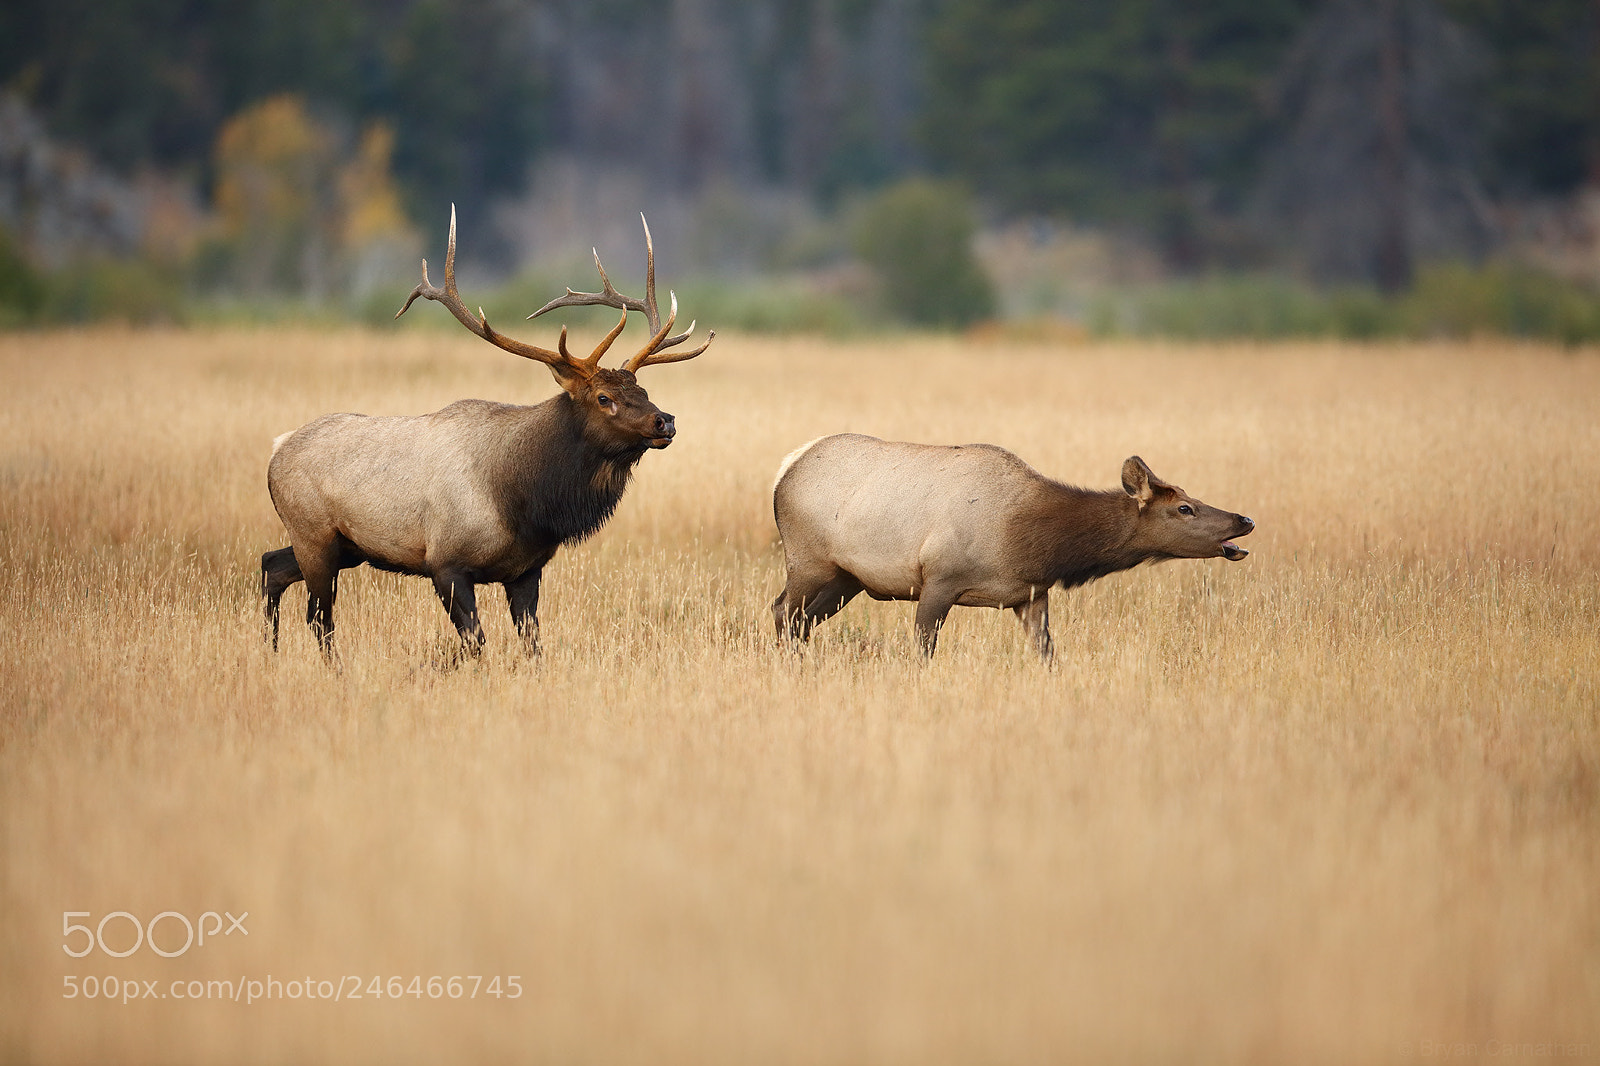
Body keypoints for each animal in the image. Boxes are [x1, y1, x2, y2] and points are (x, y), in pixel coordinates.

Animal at [262, 206, 713, 657]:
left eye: (644, 391)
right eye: (604, 398)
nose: (665, 421)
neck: (524, 500)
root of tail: (276, 449)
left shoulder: (526, 569)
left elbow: (532, 645)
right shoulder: (445, 563)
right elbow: (475, 643)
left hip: (344, 547)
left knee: (271, 565)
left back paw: (270, 649)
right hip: (313, 532)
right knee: (319, 616)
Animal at [770, 435, 1254, 658]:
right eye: (1185, 508)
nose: (1244, 520)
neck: (1034, 543)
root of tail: (785, 469)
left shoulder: (1031, 595)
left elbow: (1047, 652)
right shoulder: (940, 579)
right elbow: (923, 649)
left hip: (846, 578)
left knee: (801, 620)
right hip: (808, 559)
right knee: (781, 611)